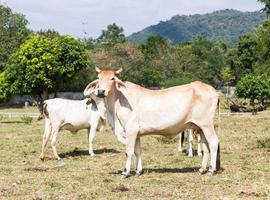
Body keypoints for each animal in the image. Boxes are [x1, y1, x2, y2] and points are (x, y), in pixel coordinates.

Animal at [84, 68, 219, 177]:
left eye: (112, 78)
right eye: (98, 78)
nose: (101, 91)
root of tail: (213, 90)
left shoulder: (130, 129)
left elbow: (129, 151)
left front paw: (125, 172)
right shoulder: (136, 133)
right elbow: (138, 151)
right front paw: (138, 171)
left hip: (206, 125)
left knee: (213, 142)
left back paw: (211, 170)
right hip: (200, 128)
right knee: (206, 146)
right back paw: (202, 169)